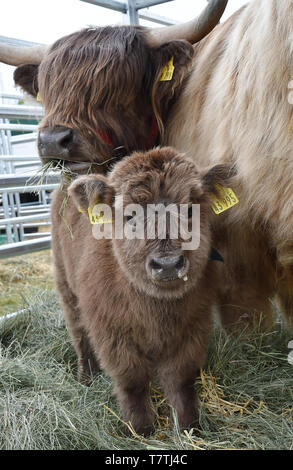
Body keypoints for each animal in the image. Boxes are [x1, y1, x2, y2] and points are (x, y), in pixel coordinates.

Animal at [50, 148, 233, 436]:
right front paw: (140, 429)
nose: (168, 263)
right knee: (79, 334)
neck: (157, 312)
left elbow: (181, 380)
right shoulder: (112, 334)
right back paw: (86, 377)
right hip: (66, 287)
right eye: (130, 216)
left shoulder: (193, 328)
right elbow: (132, 381)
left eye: (190, 209)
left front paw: (189, 425)